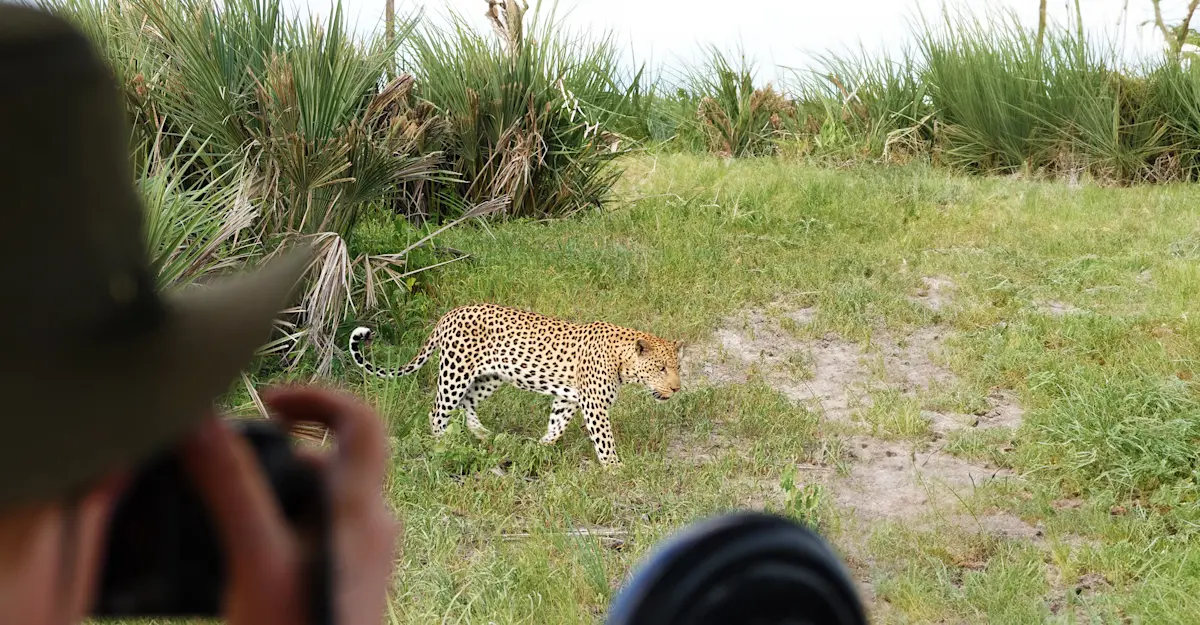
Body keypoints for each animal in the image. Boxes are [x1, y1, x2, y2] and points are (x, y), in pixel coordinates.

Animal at [347, 303, 682, 466]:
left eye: (677, 368)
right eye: (661, 368)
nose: (677, 388)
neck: (621, 359)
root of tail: (449, 314)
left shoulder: (568, 399)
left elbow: (556, 425)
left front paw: (540, 447)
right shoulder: (594, 405)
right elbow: (604, 439)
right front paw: (614, 467)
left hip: (489, 377)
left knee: (468, 403)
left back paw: (482, 434)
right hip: (456, 373)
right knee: (438, 410)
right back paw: (444, 443)